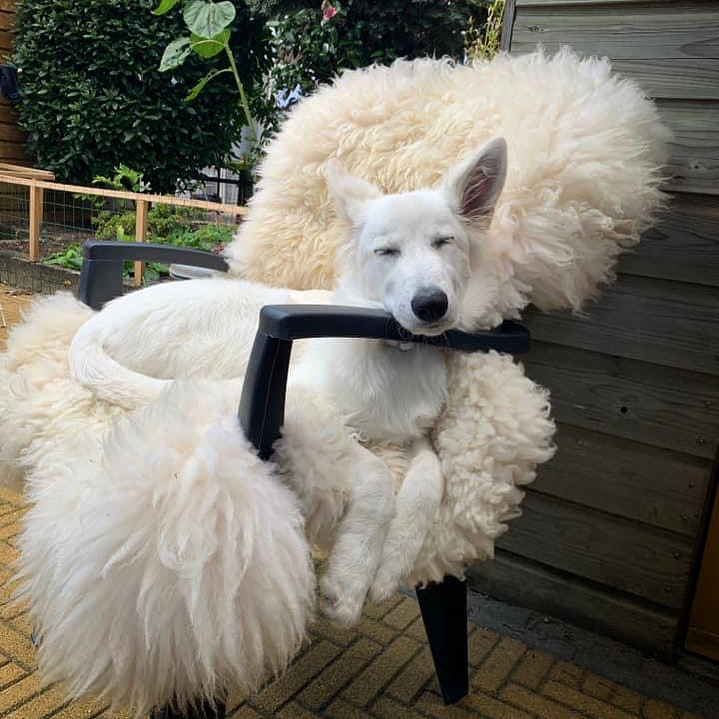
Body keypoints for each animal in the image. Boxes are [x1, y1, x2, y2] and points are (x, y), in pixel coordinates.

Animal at [66, 136, 508, 625]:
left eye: (444, 242)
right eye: (386, 251)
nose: (431, 305)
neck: (396, 351)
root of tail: (97, 322)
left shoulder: (404, 434)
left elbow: (431, 480)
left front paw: (389, 566)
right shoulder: (303, 413)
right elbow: (376, 478)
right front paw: (350, 580)